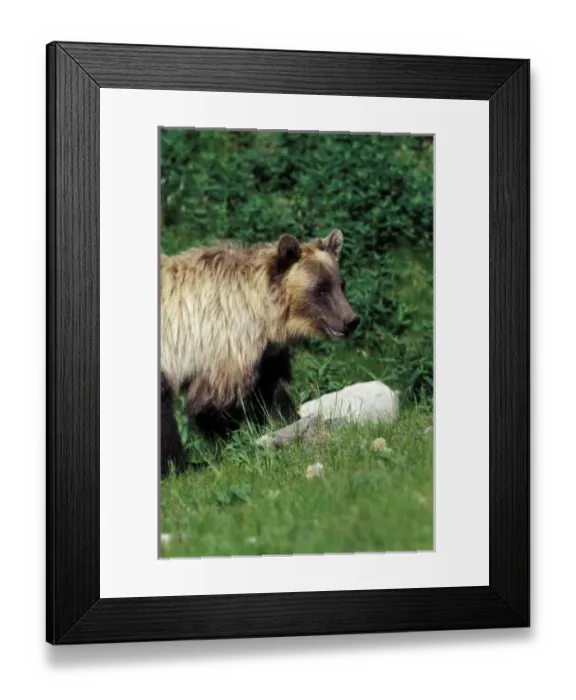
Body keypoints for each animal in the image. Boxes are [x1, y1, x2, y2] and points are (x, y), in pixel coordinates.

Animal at [159, 228, 359, 477]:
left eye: (341, 284)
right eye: (320, 288)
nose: (351, 320)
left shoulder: (266, 353)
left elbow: (272, 390)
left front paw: (287, 424)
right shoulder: (224, 343)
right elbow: (213, 405)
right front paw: (229, 446)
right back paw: (183, 466)